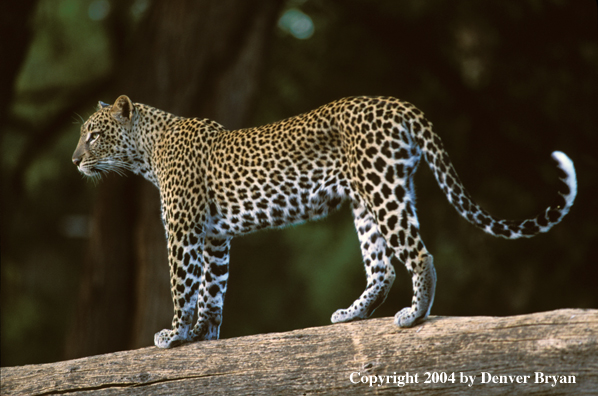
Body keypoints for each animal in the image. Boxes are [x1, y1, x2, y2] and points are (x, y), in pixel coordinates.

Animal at [72, 94, 580, 348]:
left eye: (93, 135)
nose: (75, 160)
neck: (145, 151)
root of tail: (399, 103)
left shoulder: (183, 230)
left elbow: (183, 284)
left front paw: (174, 333)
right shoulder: (215, 237)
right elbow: (213, 289)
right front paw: (201, 336)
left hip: (380, 187)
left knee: (419, 254)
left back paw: (415, 315)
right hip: (371, 198)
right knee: (382, 267)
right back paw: (352, 313)